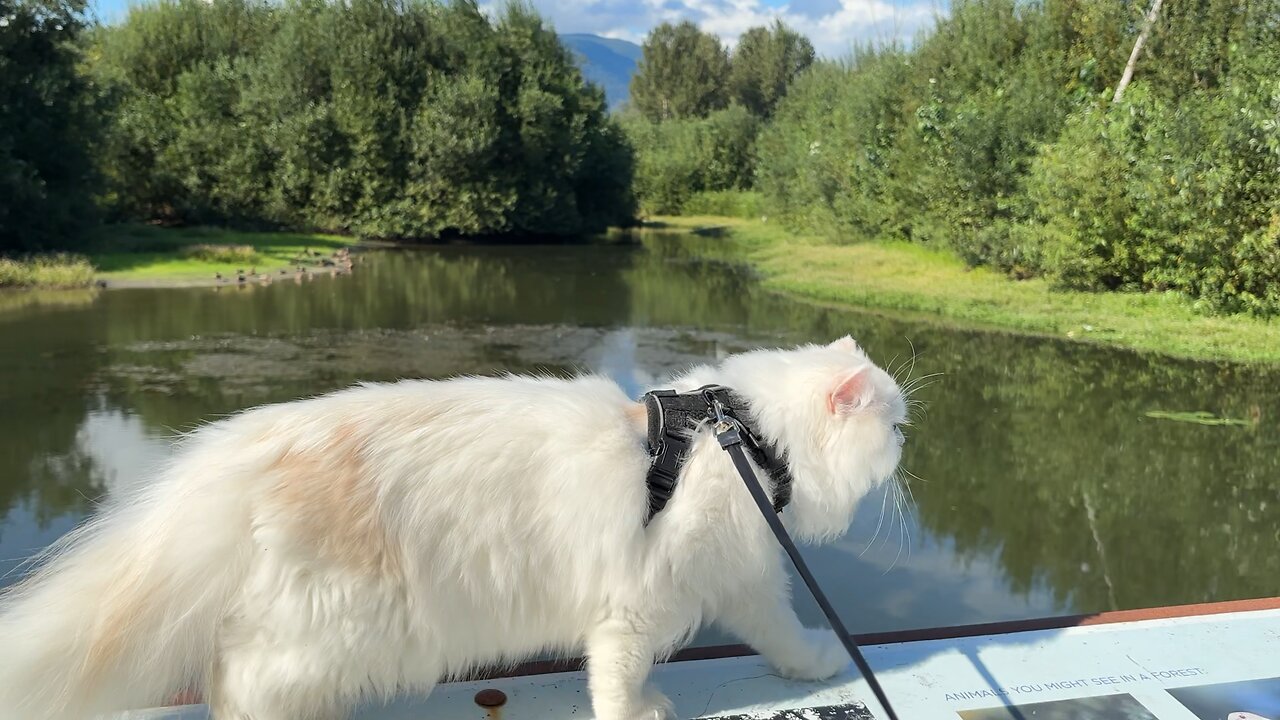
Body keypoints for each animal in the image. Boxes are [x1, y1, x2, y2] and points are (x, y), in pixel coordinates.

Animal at [0, 338, 911, 717]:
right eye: (896, 425)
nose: (910, 445)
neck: (740, 438)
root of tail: (234, 455)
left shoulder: (748, 581)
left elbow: (782, 636)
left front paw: (811, 666)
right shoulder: (634, 606)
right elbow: (618, 685)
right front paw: (643, 711)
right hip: (324, 630)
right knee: (236, 687)